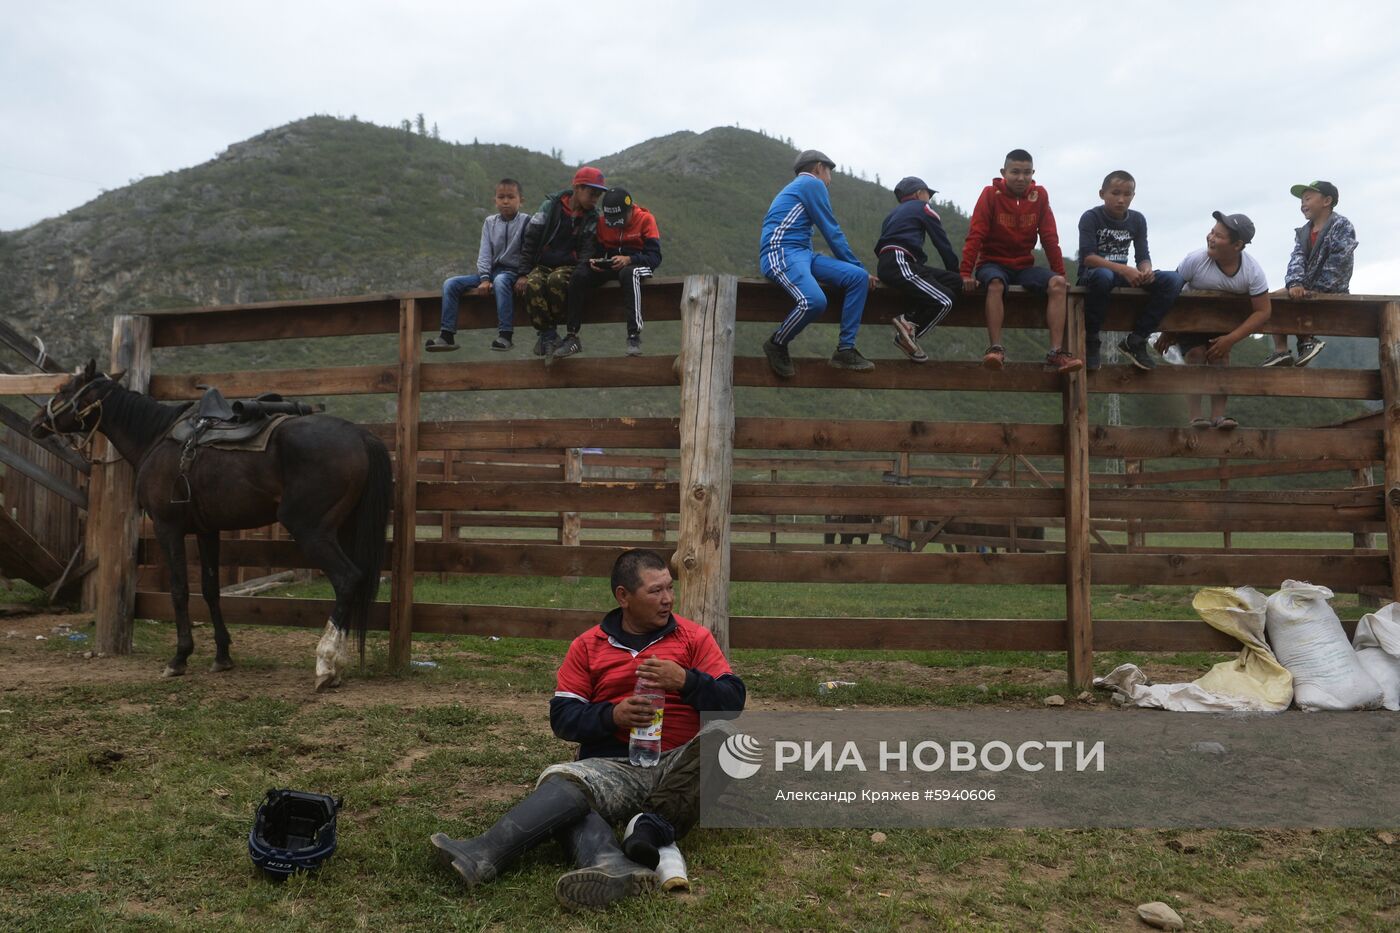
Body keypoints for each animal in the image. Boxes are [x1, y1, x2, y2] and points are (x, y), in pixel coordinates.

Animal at [32, 358, 394, 686]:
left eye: (64, 389)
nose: (37, 422)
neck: (156, 437)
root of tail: (361, 436)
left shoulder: (168, 527)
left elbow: (180, 589)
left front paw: (179, 657)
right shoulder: (208, 531)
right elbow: (210, 590)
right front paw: (222, 655)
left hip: (311, 530)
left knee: (347, 579)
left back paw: (326, 663)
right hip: (343, 529)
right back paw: (338, 663)